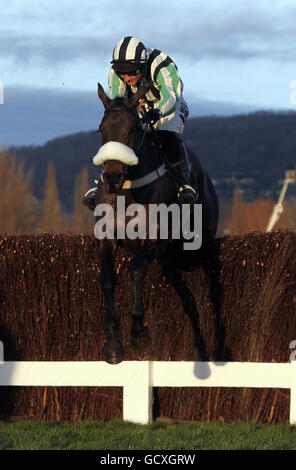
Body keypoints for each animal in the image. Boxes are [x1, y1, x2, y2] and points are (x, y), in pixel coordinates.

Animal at [92, 82, 220, 366]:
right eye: (102, 129)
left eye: (132, 129)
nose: (113, 176)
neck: (128, 192)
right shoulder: (106, 238)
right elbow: (107, 279)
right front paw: (113, 344)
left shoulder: (156, 238)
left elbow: (136, 270)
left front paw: (138, 332)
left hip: (200, 246)